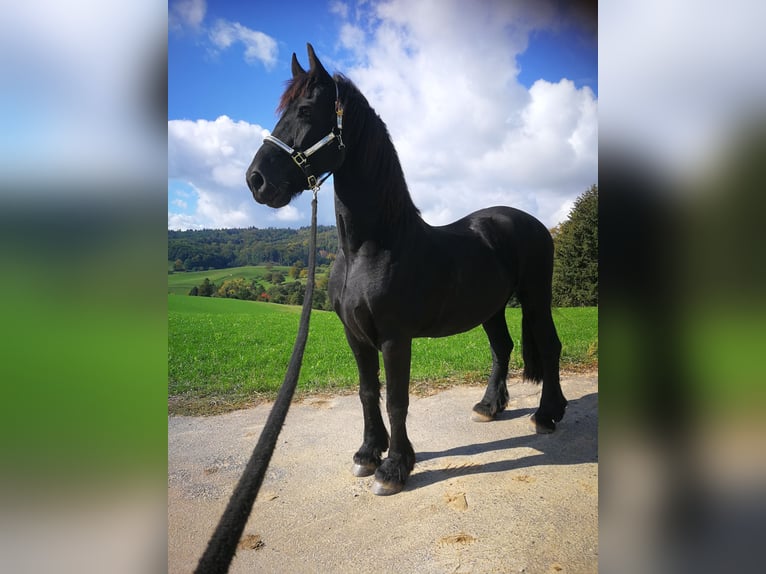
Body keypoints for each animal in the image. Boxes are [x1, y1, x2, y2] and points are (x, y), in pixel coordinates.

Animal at [246, 44, 567, 496]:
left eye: (306, 110)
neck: (368, 250)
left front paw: (394, 467)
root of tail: (532, 223)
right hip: (491, 309)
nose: (255, 180)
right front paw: (368, 453)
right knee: (502, 349)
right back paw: (489, 406)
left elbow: (397, 398)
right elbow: (367, 391)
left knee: (550, 347)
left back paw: (547, 414)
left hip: (537, 298)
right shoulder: (356, 336)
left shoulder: (394, 338)